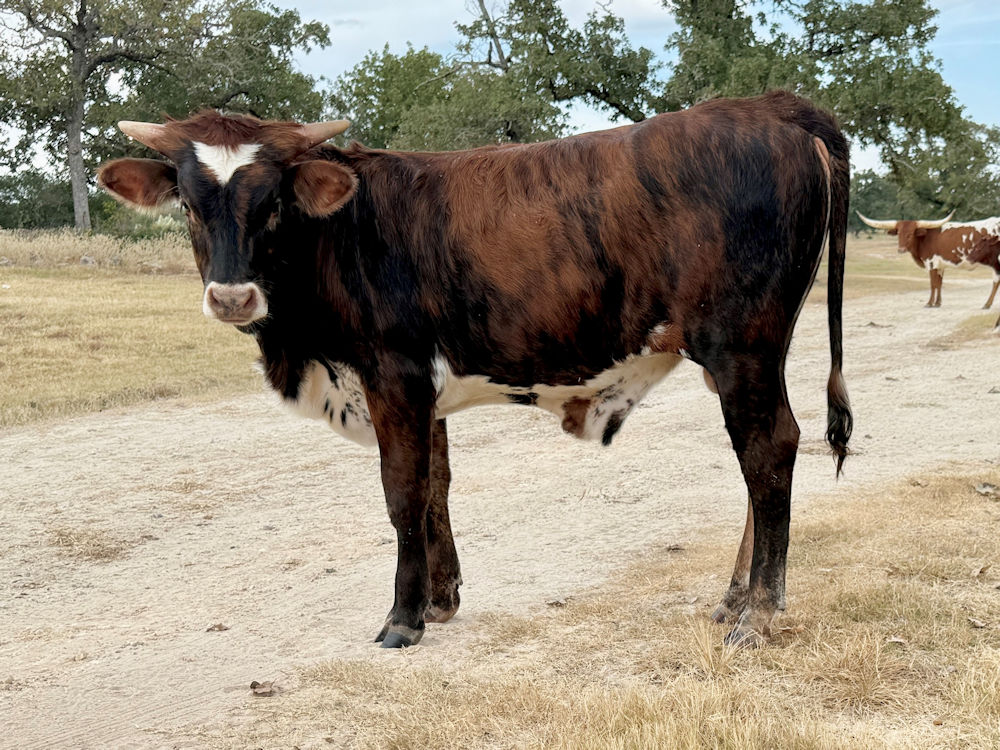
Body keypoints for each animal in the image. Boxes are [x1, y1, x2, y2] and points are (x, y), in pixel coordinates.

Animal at [97, 90, 852, 649]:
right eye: (188, 203)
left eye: (274, 202)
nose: (231, 297)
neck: (341, 235)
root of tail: (773, 107)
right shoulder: (421, 394)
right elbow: (436, 487)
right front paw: (440, 599)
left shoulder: (392, 377)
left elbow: (402, 494)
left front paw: (403, 619)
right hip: (748, 352)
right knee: (761, 463)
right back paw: (735, 599)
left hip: (741, 346)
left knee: (770, 450)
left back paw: (759, 612)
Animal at [857, 212, 1000, 310]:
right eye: (898, 233)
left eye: (911, 234)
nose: (901, 249)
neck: (924, 238)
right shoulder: (940, 266)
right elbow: (939, 284)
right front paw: (938, 303)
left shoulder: (931, 263)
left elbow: (933, 284)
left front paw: (929, 303)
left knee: (995, 282)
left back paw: (987, 304)